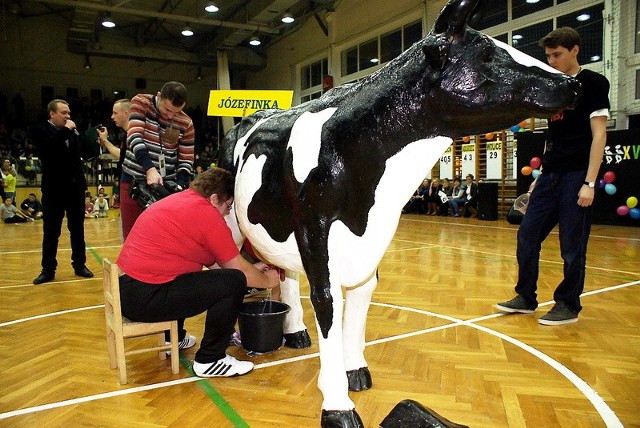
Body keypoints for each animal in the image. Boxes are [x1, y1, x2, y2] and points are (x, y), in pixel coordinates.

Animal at [219, 0, 580, 424]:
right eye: (488, 55)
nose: (573, 84)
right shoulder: (316, 232)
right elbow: (327, 303)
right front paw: (337, 404)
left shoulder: (370, 243)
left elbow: (358, 305)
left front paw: (354, 371)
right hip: (234, 219)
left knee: (287, 275)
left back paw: (294, 332)